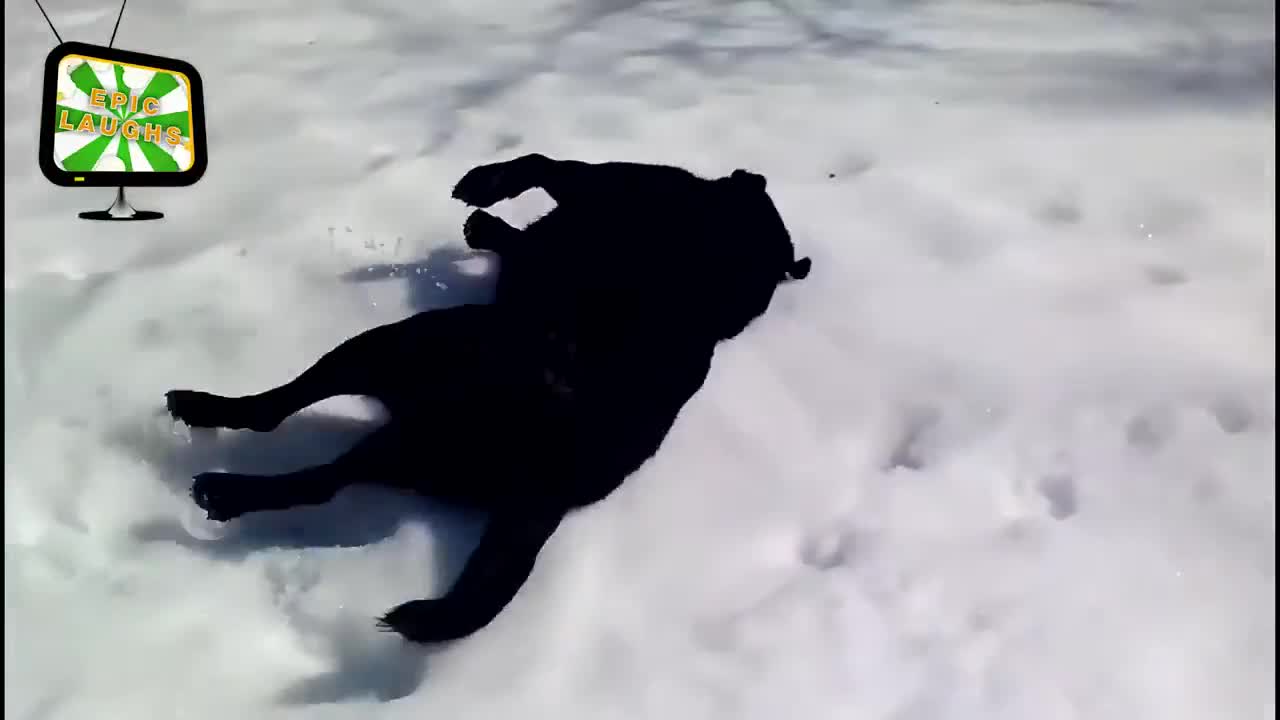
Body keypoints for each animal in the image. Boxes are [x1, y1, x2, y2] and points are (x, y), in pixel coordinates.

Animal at [165, 154, 814, 640]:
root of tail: (556, 475)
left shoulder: (607, 180)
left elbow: (544, 164)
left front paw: (483, 189)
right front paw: (485, 222)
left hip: (405, 348)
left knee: (296, 443)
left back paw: (219, 471)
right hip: (409, 414)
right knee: (313, 455)